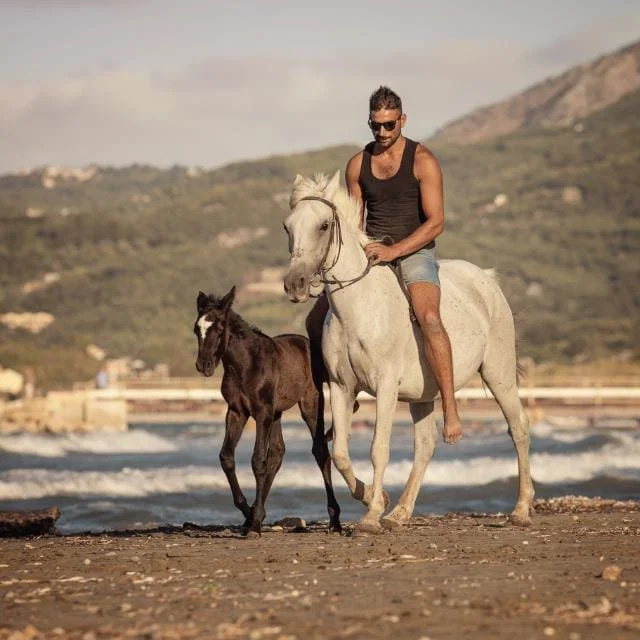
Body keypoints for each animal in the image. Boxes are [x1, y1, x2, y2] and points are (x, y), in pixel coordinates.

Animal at [194, 286, 341, 536]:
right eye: (197, 329)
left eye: (220, 328)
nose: (203, 365)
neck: (245, 365)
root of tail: (309, 344)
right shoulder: (237, 411)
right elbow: (227, 457)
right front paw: (248, 514)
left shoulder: (261, 413)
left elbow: (257, 461)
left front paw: (253, 524)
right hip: (277, 414)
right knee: (278, 452)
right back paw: (258, 512)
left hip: (310, 404)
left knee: (320, 450)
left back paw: (335, 520)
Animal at [282, 171, 534, 535]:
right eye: (287, 227)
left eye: (324, 225)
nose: (295, 284)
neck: (359, 308)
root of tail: (486, 279)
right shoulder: (342, 388)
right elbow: (340, 452)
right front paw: (376, 498)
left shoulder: (386, 387)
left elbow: (379, 448)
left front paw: (371, 515)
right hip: (422, 395)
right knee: (426, 445)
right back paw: (399, 512)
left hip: (498, 375)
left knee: (519, 428)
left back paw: (521, 508)